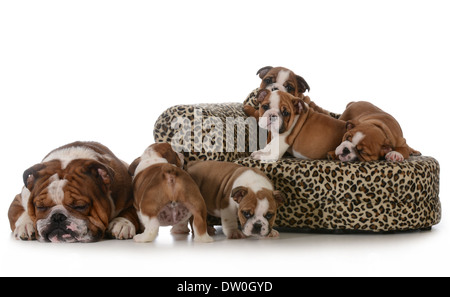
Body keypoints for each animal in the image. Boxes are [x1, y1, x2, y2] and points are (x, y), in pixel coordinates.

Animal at [8, 142, 139, 243]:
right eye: (40, 207)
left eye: (80, 206)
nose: (57, 216)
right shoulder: (20, 198)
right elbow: (19, 212)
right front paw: (25, 225)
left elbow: (130, 212)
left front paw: (122, 223)